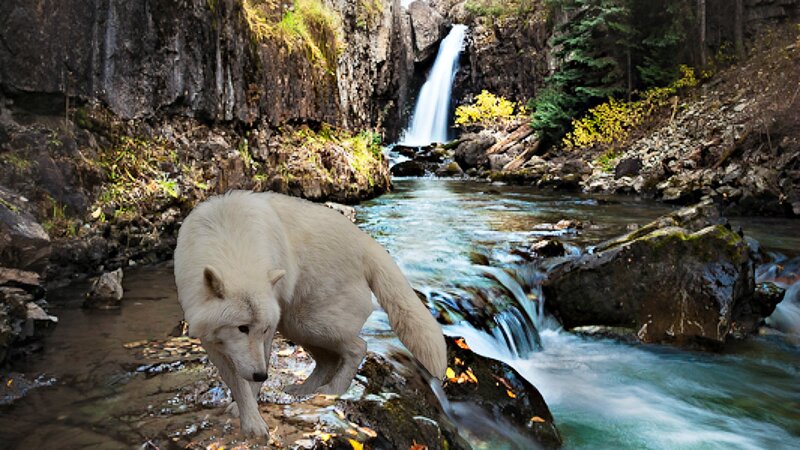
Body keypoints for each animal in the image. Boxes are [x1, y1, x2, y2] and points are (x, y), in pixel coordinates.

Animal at [173, 190, 446, 438]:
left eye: (262, 329)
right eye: (242, 328)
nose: (262, 374)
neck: (231, 242)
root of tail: (366, 242)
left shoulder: (267, 336)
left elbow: (249, 381)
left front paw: (252, 421)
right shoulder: (212, 341)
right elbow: (237, 382)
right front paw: (247, 414)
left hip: (310, 323)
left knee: (358, 347)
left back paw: (334, 390)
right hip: (296, 326)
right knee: (327, 361)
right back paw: (304, 391)